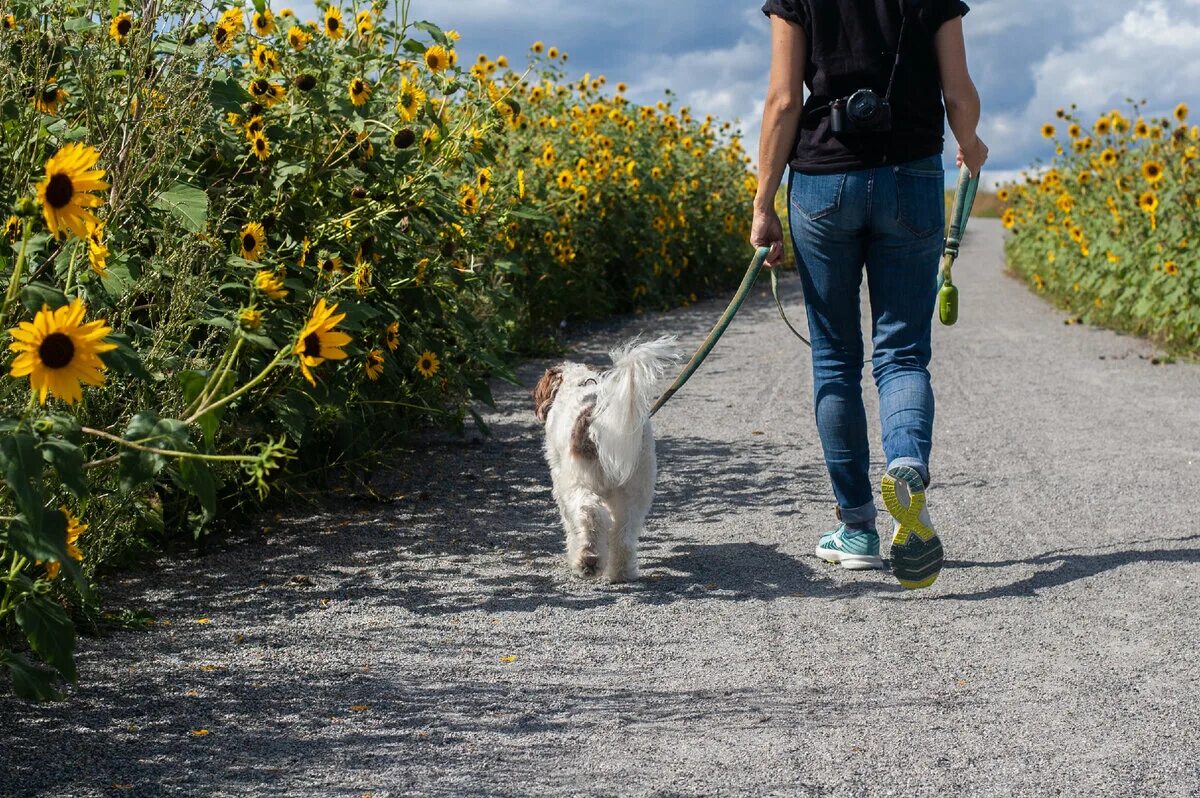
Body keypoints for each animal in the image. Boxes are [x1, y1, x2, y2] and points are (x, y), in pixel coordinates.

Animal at [532, 336, 676, 578]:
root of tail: (595, 416)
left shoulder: (561, 482)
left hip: (579, 483)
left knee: (590, 514)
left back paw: (588, 560)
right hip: (636, 487)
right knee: (624, 532)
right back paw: (621, 572)